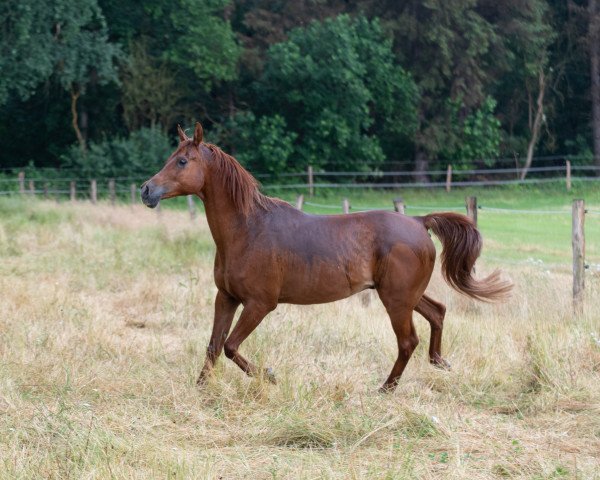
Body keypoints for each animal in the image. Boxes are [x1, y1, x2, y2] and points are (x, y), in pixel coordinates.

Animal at [142, 123, 510, 390]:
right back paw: (438, 362)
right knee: (437, 312)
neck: (248, 230)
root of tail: (420, 222)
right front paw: (201, 389)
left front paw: (270, 376)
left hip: (396, 299)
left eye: (182, 161)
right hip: (405, 295)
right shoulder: (226, 297)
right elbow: (214, 346)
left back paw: (385, 389)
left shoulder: (260, 303)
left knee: (408, 340)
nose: (147, 190)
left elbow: (231, 346)